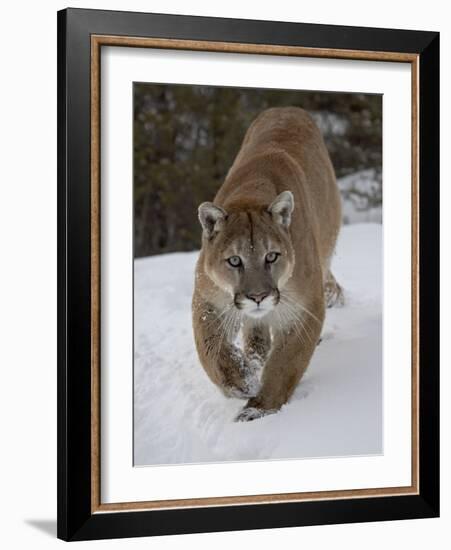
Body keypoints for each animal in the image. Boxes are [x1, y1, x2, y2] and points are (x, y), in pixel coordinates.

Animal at [191, 108, 342, 422]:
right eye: (234, 260)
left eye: (271, 256)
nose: (258, 297)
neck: (251, 193)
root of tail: (289, 109)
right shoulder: (208, 299)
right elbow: (212, 351)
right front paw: (243, 382)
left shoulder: (303, 307)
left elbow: (285, 363)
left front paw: (258, 408)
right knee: (256, 335)